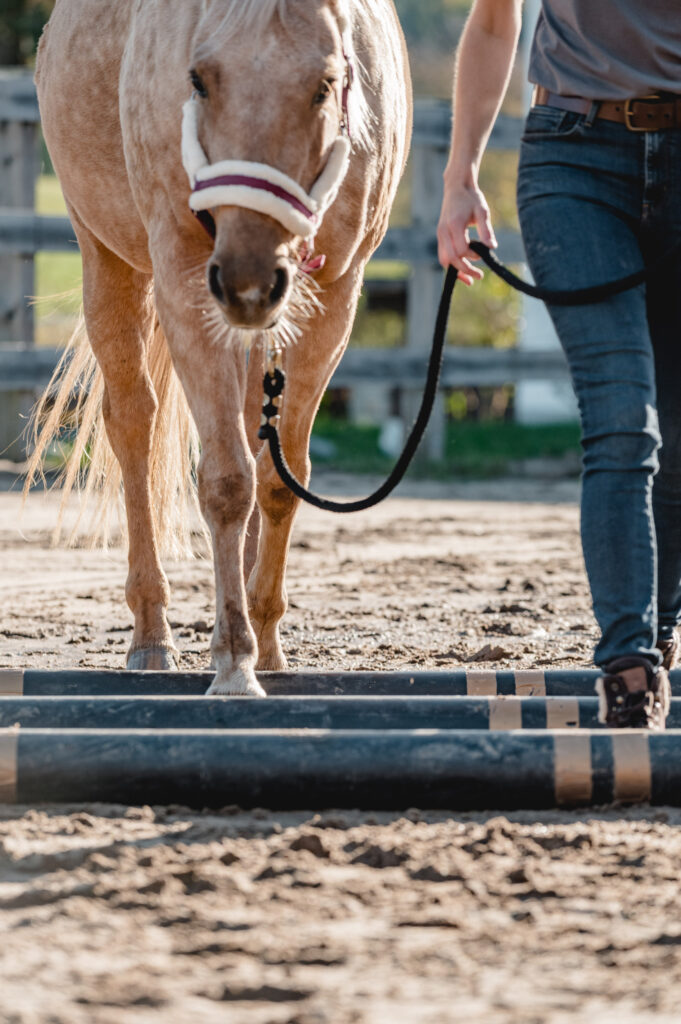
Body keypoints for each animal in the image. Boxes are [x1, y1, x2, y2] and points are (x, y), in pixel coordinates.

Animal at [31, 0, 412, 696]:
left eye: (326, 83)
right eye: (199, 81)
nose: (247, 278)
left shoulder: (334, 297)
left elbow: (281, 478)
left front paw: (263, 643)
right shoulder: (185, 282)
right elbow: (228, 481)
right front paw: (234, 660)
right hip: (106, 257)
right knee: (133, 423)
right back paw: (152, 636)